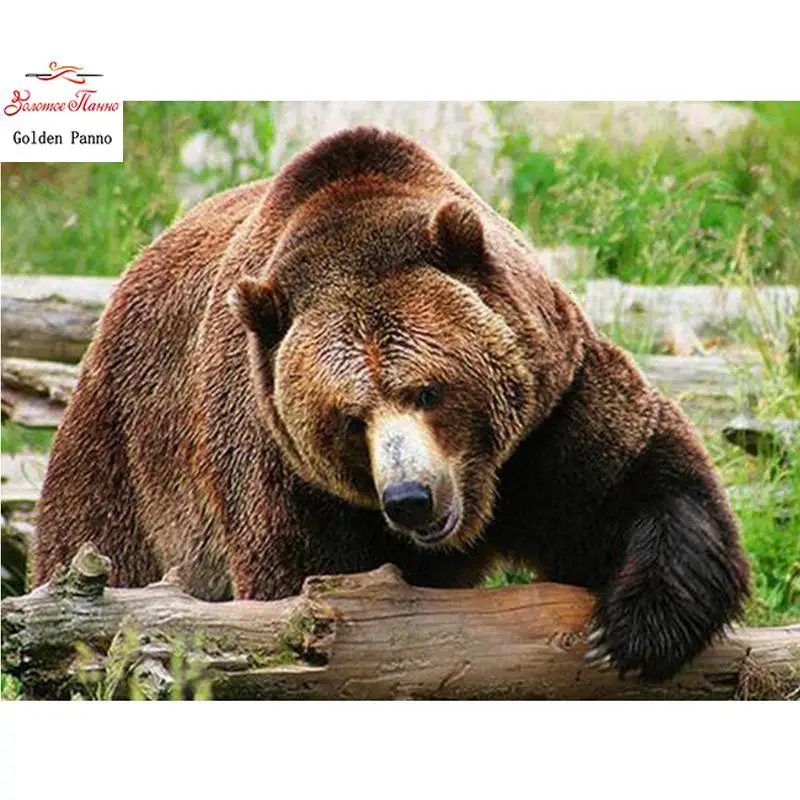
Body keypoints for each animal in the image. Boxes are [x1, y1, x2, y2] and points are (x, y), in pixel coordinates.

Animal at [34, 126, 750, 681]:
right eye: (350, 419)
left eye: (428, 389)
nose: (411, 498)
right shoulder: (287, 475)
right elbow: (306, 591)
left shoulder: (548, 411)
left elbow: (639, 481)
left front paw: (629, 630)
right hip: (126, 460)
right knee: (102, 552)